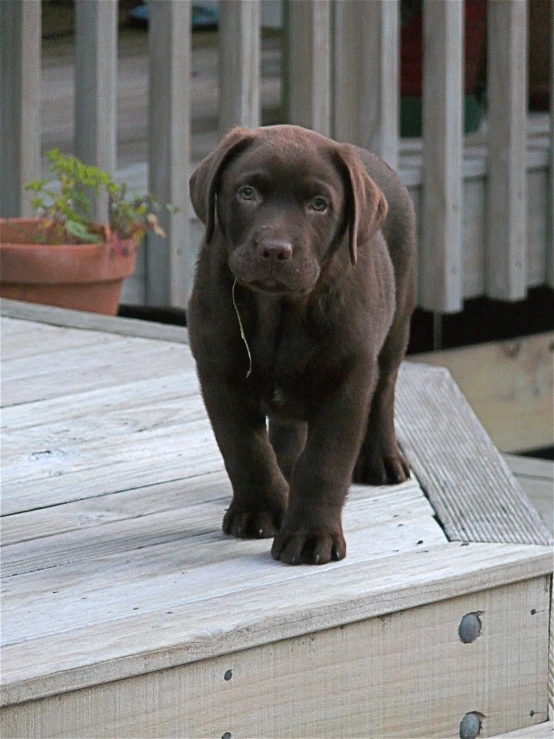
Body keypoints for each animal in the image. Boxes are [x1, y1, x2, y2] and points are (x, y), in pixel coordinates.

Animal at [188, 125, 412, 568]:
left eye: (319, 204)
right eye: (247, 193)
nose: (275, 249)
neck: (280, 312)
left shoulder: (348, 379)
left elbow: (325, 462)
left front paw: (310, 536)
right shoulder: (219, 373)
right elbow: (245, 449)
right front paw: (260, 509)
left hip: (397, 323)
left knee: (385, 389)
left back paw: (381, 458)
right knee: (286, 430)